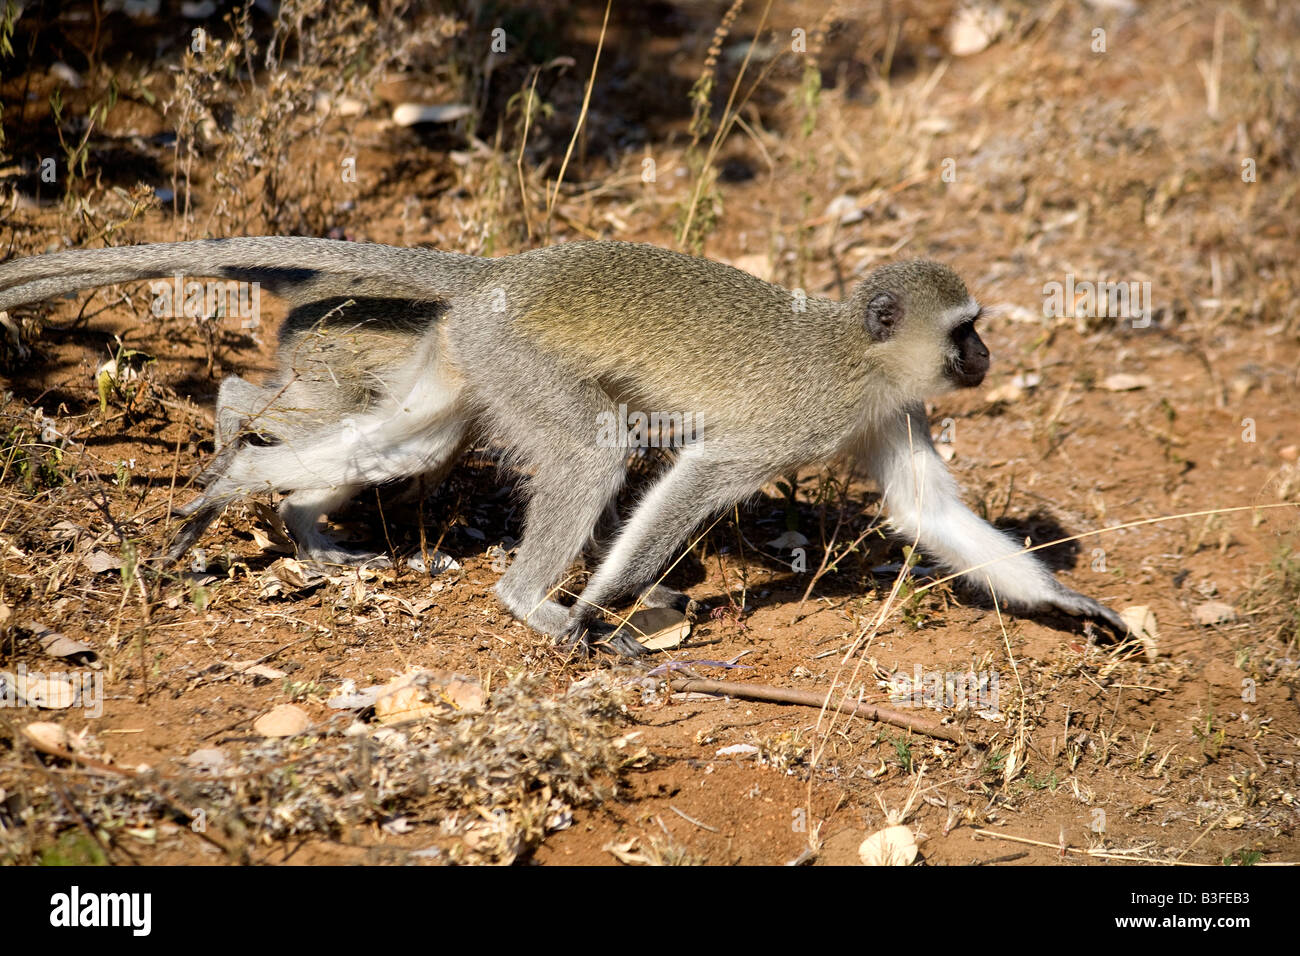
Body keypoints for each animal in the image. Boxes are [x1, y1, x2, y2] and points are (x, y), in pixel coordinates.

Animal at [0, 238, 1128, 654]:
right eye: (964, 330)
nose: (984, 356)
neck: (864, 354)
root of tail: (498, 272)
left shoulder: (891, 412)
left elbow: (927, 511)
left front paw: (1073, 606)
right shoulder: (811, 409)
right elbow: (699, 474)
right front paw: (599, 602)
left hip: (463, 361)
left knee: (397, 450)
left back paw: (240, 479)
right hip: (516, 353)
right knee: (593, 450)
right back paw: (533, 601)